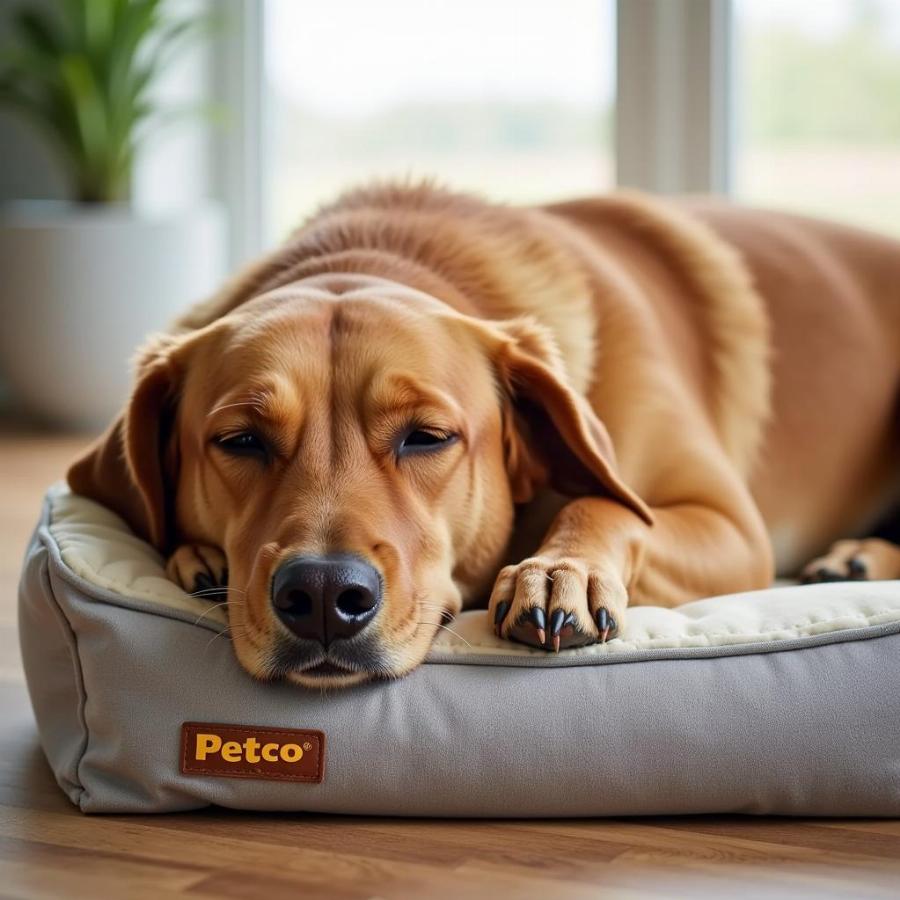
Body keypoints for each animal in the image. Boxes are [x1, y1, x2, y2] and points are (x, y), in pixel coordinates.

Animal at [65, 185, 900, 688]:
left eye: (427, 437)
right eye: (240, 442)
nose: (324, 594)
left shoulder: (729, 526)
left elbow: (608, 503)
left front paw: (560, 572)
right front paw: (196, 555)